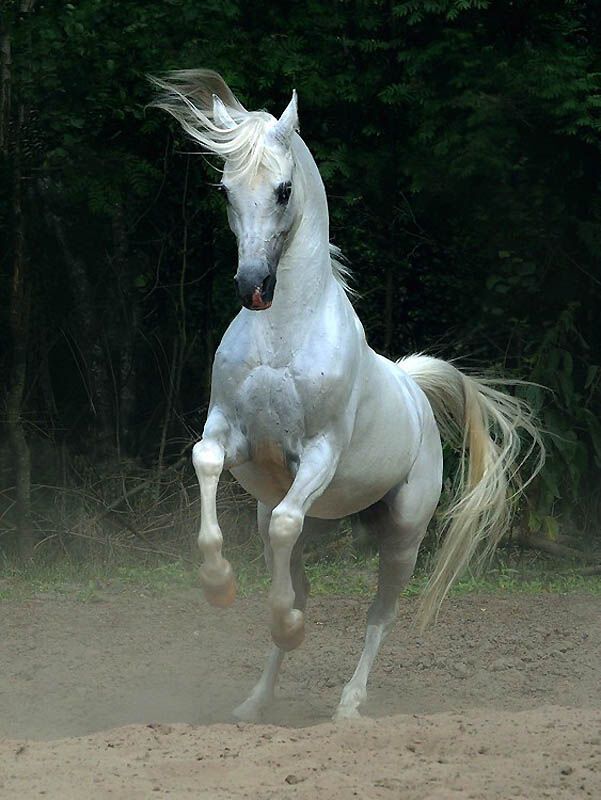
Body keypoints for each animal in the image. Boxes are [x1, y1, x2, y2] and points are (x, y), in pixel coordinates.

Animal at [151, 72, 544, 720]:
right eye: (226, 189)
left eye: (283, 189)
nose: (252, 286)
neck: (284, 333)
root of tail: (413, 388)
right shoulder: (230, 432)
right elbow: (207, 464)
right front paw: (219, 585)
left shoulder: (319, 453)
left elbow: (290, 534)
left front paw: (286, 625)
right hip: (308, 517)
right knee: (297, 570)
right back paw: (255, 702)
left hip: (403, 537)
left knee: (378, 615)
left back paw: (348, 705)